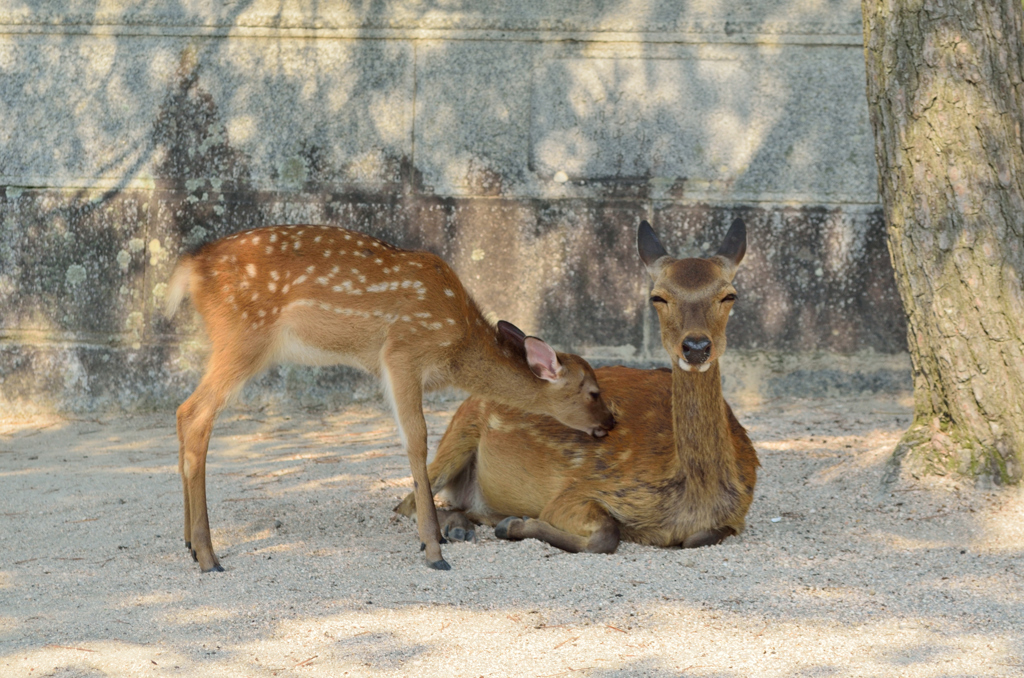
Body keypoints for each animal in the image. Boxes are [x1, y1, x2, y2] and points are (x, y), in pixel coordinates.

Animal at [163, 225, 610, 569]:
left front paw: (436, 539)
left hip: (228, 340)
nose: (610, 423)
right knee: (196, 414)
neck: (457, 345)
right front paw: (433, 549)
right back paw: (209, 556)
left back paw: (189, 544)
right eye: (593, 391)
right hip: (244, 335)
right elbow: (417, 440)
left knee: (183, 412)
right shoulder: (402, 353)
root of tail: (191, 268)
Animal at [395, 220, 757, 557]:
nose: (696, 346)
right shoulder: (577, 491)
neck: (690, 501)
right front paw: (514, 524)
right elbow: (607, 533)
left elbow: (701, 537)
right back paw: (462, 527)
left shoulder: (736, 515)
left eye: (729, 295)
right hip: (458, 433)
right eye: (658, 296)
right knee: (408, 502)